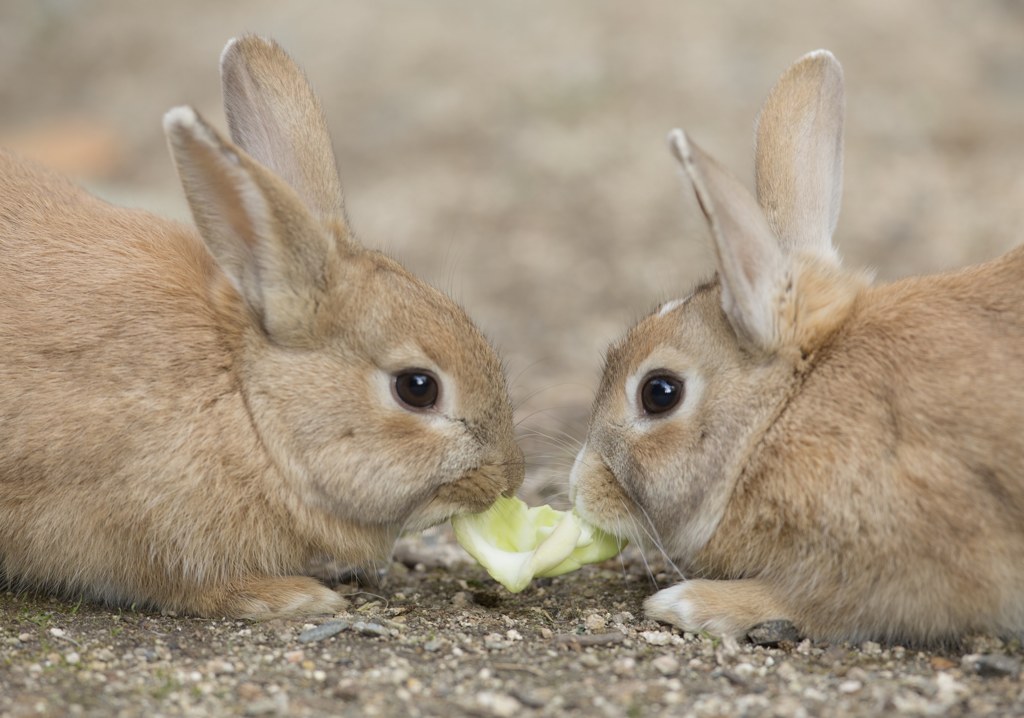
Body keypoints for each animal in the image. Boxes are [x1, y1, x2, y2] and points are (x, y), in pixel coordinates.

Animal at [569, 50, 1024, 643]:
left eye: (659, 392)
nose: (578, 489)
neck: (783, 414)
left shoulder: (923, 558)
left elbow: (823, 603)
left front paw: (689, 604)